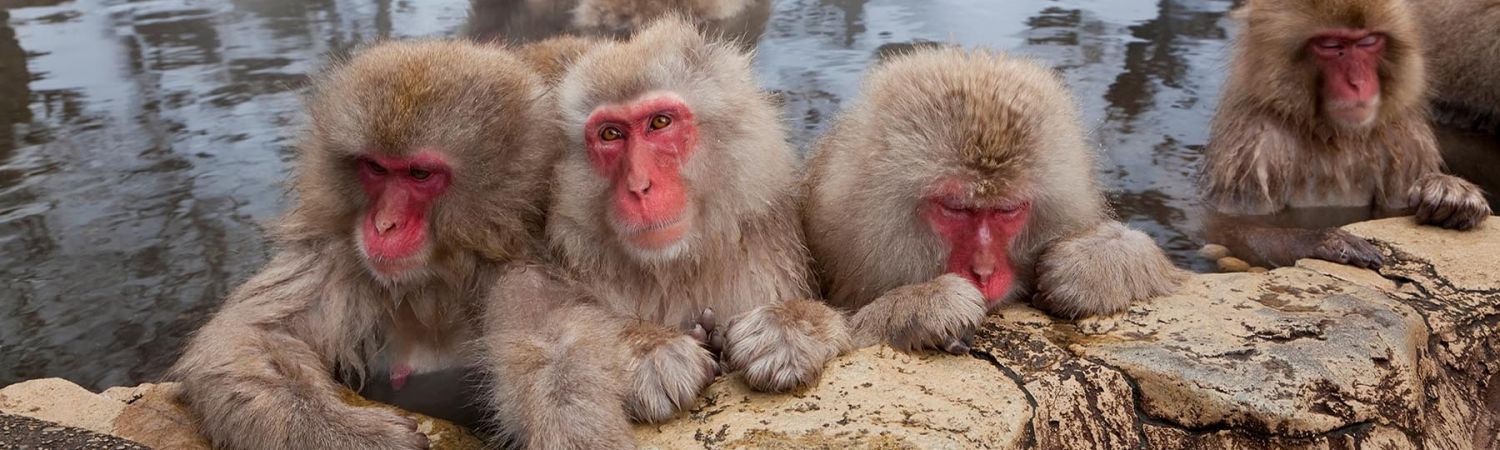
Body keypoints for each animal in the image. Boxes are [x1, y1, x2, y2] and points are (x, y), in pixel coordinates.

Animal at [169, 41, 567, 450]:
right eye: (375, 168)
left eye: (419, 173)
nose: (384, 225)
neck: (435, 282)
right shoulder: (336, 256)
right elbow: (245, 337)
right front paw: (352, 434)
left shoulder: (526, 279)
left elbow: (556, 368)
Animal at [546, 16, 851, 420]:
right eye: (611, 133)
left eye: (660, 123)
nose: (639, 186)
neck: (677, 266)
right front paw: (651, 351)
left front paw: (788, 326)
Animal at [1200, 0, 1490, 270]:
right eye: (1330, 45)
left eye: (1368, 41)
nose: (1358, 84)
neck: (1335, 135)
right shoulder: (1254, 147)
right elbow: (1231, 226)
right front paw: (1323, 240)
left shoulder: (1406, 142)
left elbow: (1396, 207)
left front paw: (1450, 193)